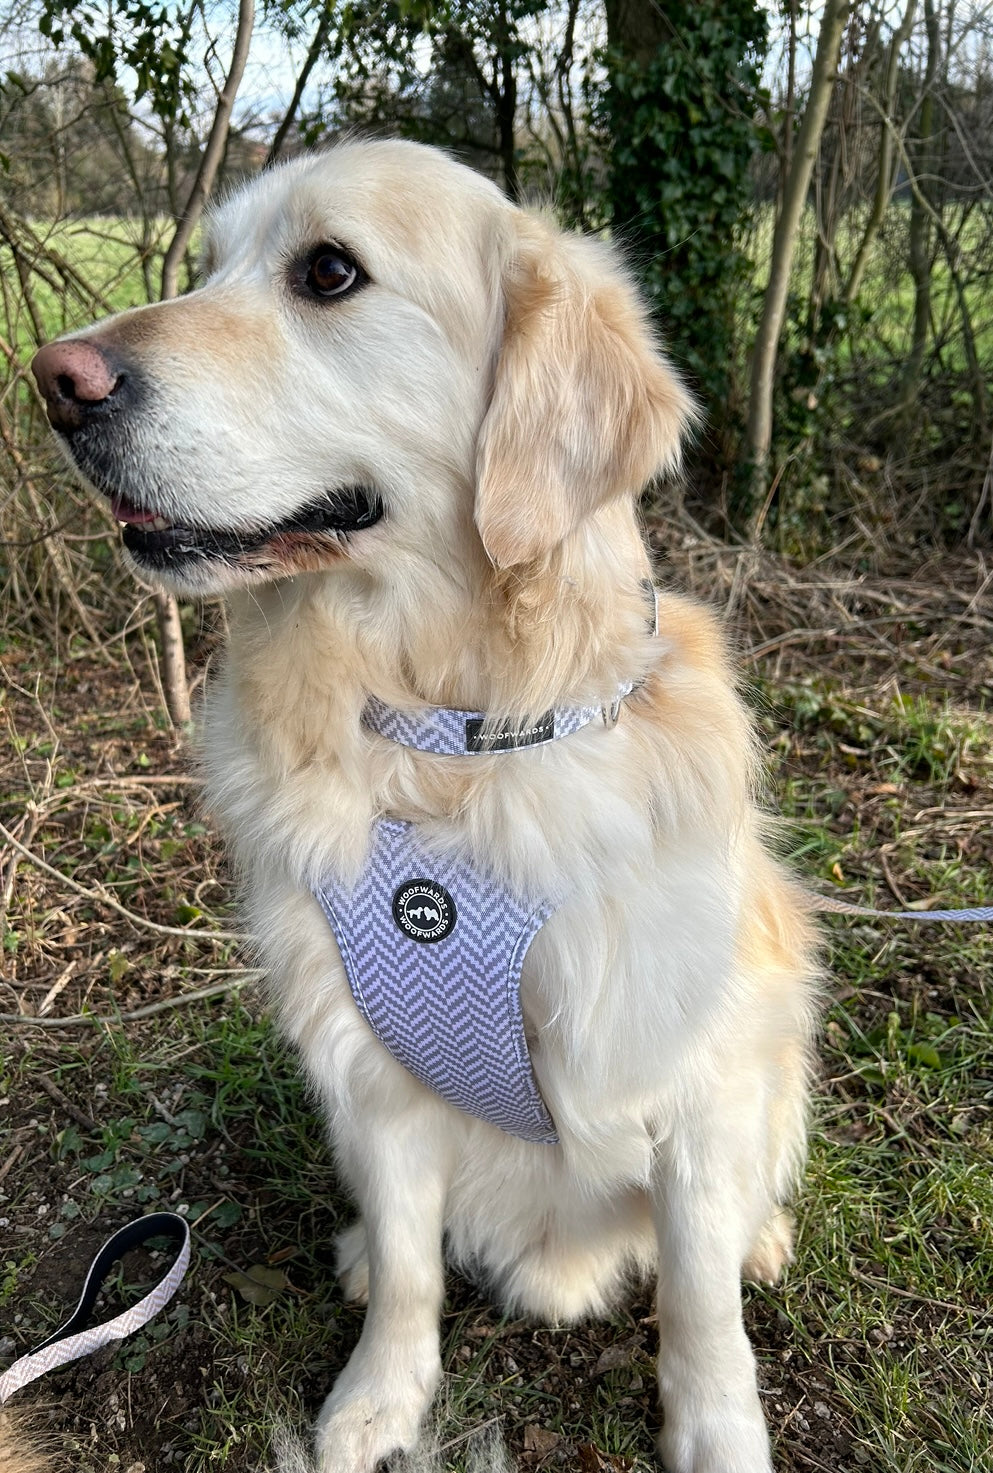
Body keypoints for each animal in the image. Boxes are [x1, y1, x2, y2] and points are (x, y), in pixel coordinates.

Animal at [34, 138, 813, 1473]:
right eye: (211, 263)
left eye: (328, 271)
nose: (54, 381)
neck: (448, 737)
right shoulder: (369, 1068)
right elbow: (410, 1264)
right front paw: (375, 1404)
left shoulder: (690, 1075)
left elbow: (700, 1298)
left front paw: (719, 1432)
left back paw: (764, 1238)